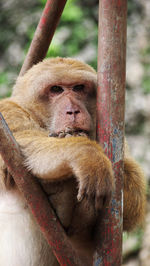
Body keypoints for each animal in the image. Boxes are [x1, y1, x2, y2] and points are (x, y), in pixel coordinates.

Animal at [0, 57, 146, 264]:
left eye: (78, 88)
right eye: (56, 89)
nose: (73, 111)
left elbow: (133, 205)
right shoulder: (8, 113)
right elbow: (23, 145)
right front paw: (87, 156)